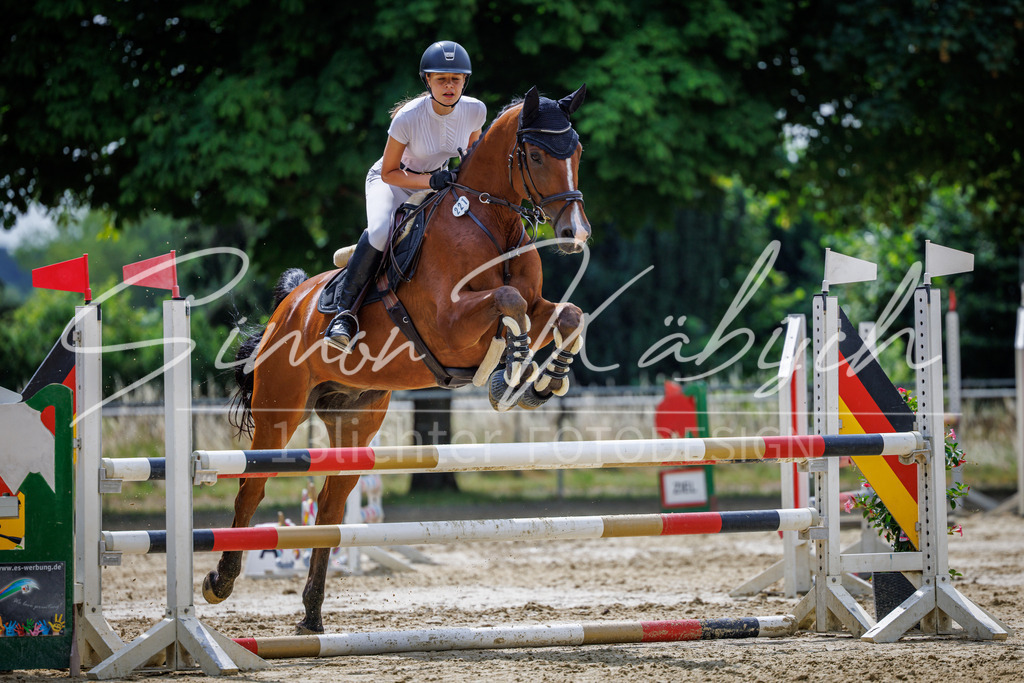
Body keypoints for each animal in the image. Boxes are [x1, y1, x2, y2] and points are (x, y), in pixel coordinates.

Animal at [203, 85, 591, 634]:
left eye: (576, 152)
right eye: (536, 155)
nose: (575, 233)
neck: (491, 222)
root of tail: (288, 304)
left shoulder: (536, 308)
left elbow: (567, 314)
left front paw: (543, 382)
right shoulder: (450, 326)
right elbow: (508, 303)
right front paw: (508, 375)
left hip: (355, 418)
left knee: (329, 508)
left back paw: (312, 617)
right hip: (280, 412)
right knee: (250, 489)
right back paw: (221, 582)